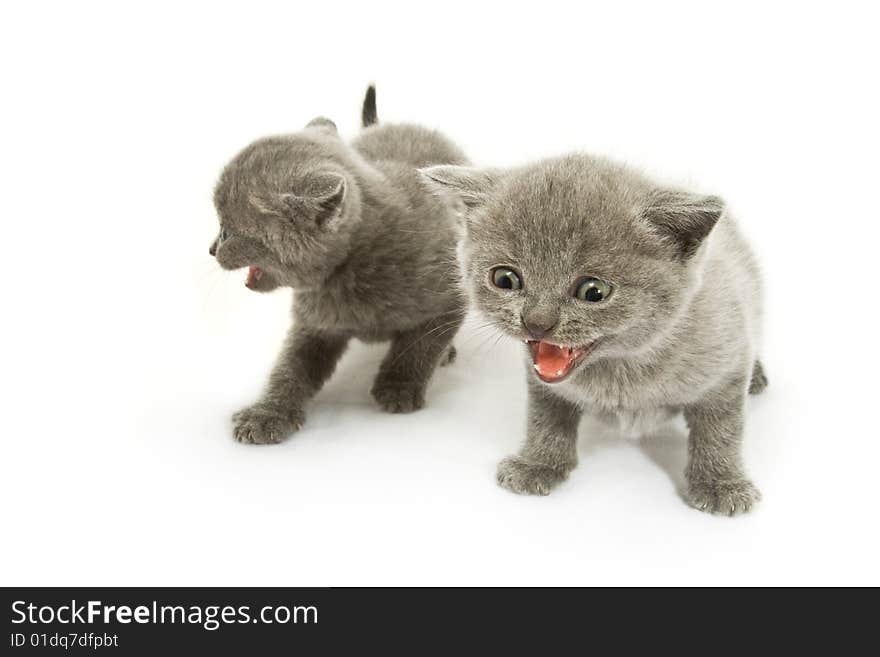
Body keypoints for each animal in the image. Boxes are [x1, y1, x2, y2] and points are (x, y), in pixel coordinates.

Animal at [211, 87, 470, 444]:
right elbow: (290, 367)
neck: (347, 273)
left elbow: (418, 346)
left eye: (226, 230)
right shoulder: (313, 324)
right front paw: (267, 414)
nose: (211, 249)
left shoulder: (450, 298)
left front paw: (398, 387)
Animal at [422, 156, 768, 516]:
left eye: (593, 291)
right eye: (505, 279)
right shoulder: (542, 382)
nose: (536, 322)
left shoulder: (727, 368)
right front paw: (538, 463)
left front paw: (721, 484)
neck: (621, 370)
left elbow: (721, 430)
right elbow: (545, 417)